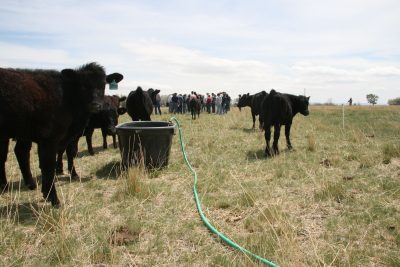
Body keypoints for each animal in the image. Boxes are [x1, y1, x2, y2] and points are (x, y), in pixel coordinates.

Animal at [0, 63, 120, 207]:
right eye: (82, 85)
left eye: (103, 85)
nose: (96, 105)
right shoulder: (49, 138)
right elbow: (48, 166)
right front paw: (53, 198)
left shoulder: (68, 137)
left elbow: (69, 153)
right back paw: (5, 186)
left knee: (20, 152)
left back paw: (28, 184)